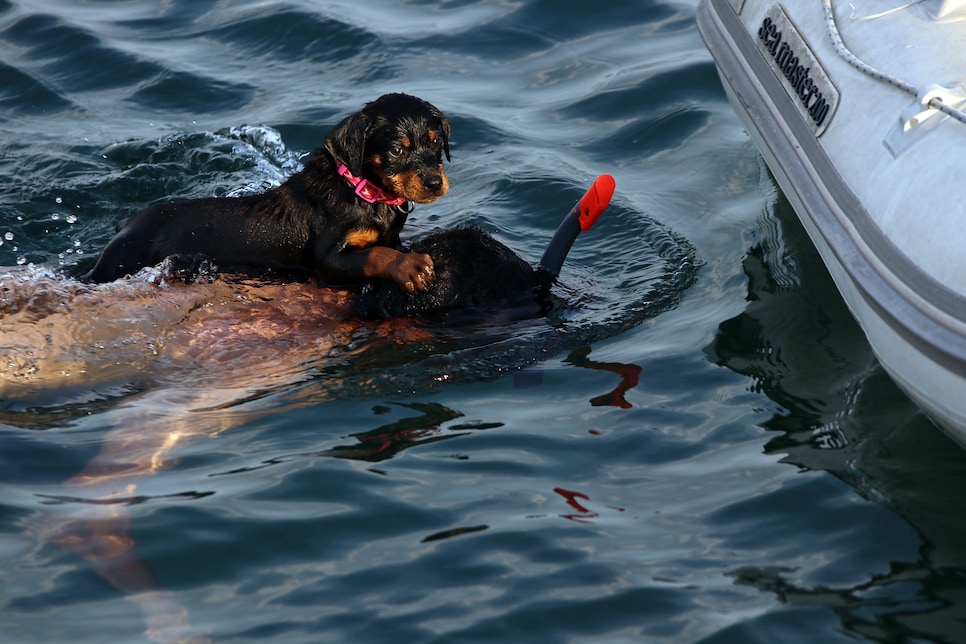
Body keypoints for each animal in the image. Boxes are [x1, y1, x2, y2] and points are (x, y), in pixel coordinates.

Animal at [79, 93, 450, 292]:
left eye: (436, 143)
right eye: (397, 150)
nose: (434, 182)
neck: (365, 192)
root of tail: (127, 223)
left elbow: (385, 245)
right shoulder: (328, 259)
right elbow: (376, 255)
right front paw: (411, 267)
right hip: (122, 259)